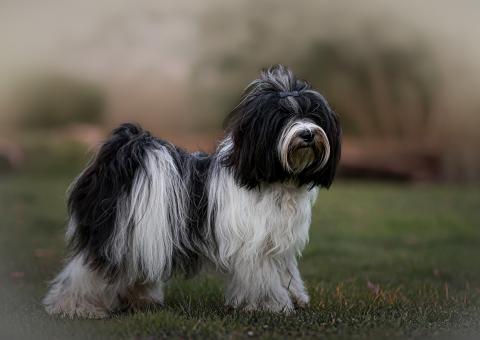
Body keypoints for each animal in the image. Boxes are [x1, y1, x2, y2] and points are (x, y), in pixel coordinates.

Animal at [42, 65, 342, 318]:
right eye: (283, 116)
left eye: (314, 115)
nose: (307, 134)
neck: (276, 180)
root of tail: (121, 154)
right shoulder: (254, 247)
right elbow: (263, 279)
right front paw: (271, 305)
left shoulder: (279, 243)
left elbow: (287, 271)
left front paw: (297, 297)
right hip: (113, 234)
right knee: (88, 271)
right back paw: (75, 306)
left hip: (139, 235)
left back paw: (139, 300)